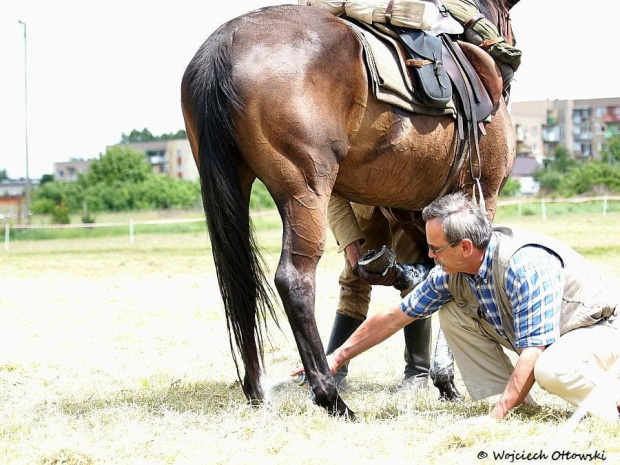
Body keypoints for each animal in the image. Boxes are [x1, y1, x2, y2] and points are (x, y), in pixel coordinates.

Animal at [180, 0, 520, 416]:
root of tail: (225, 42)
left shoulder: (414, 214)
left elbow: (428, 281)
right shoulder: (481, 195)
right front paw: (445, 377)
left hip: (234, 186)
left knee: (241, 285)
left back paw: (258, 392)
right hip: (306, 190)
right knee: (294, 279)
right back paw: (330, 396)